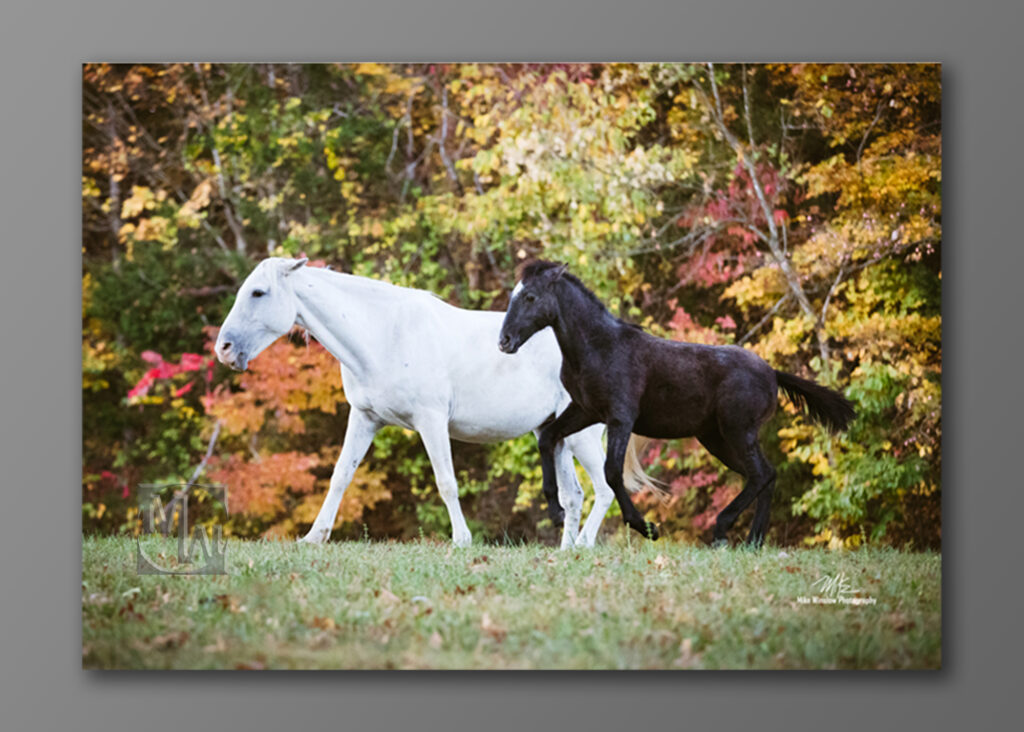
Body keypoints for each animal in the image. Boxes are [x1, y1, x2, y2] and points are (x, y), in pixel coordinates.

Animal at [215, 257, 643, 548]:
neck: (384, 334)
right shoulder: (364, 418)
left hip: (582, 437)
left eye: (259, 292)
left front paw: (461, 540)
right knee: (574, 496)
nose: (224, 349)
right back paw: (567, 550)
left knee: (604, 489)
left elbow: (446, 482)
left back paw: (583, 546)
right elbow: (341, 476)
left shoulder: (431, 421)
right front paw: (313, 537)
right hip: (553, 435)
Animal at [497, 262, 856, 544]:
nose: (504, 342)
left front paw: (647, 528)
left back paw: (723, 530)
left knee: (760, 475)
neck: (599, 347)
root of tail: (772, 373)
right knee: (765, 475)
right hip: (716, 438)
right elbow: (547, 438)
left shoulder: (620, 418)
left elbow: (612, 472)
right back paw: (753, 541)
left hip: (737, 431)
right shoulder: (584, 410)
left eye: (530, 297)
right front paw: (556, 510)